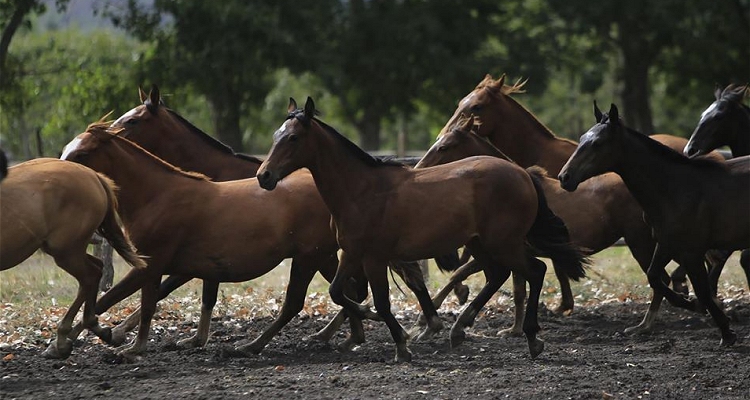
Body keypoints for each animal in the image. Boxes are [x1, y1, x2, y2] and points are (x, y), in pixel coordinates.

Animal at [0, 159, 145, 360]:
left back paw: (63, 340)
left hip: (66, 252)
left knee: (90, 276)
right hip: (70, 251)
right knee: (97, 269)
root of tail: (94, 175)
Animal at [256, 97, 592, 362]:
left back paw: (532, 339)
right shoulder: (352, 254)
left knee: (534, 272)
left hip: (503, 243)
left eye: (293, 138)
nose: (264, 176)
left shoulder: (375, 258)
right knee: (499, 275)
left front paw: (402, 344)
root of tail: (522, 174)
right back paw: (460, 330)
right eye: (275, 135)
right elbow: (338, 292)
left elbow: (381, 301)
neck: (362, 191)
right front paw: (381, 325)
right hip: (482, 243)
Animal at [560, 104, 748, 346]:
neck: (676, 188)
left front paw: (725, 331)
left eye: (597, 143)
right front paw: (691, 304)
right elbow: (654, 276)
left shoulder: (691, 251)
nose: (564, 177)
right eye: (582, 138)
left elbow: (701, 290)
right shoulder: (666, 243)